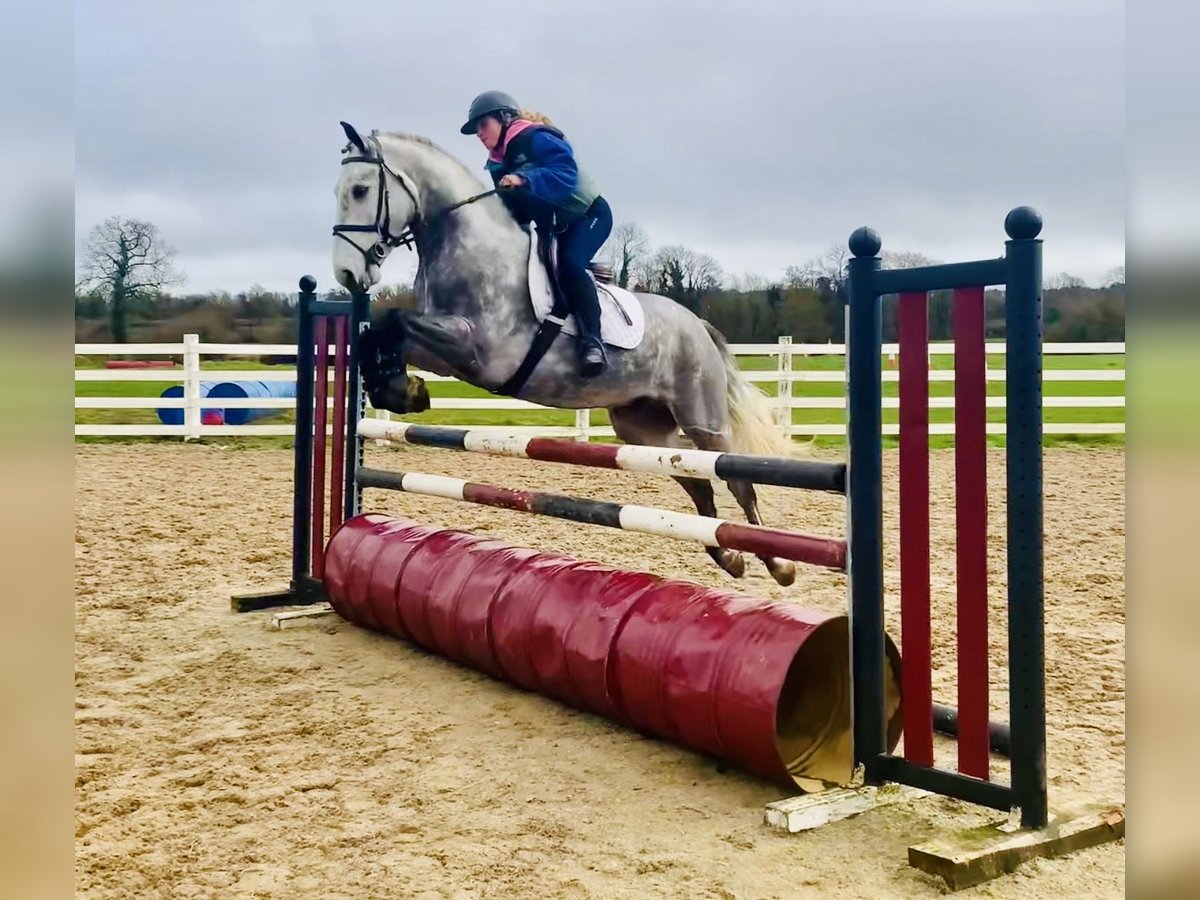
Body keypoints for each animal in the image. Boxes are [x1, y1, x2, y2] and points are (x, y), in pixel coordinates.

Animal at [331, 122, 798, 586]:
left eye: (359, 190)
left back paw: (779, 564)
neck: (472, 248)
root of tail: (696, 324)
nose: (348, 274)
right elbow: (383, 334)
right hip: (644, 428)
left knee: (735, 480)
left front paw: (401, 388)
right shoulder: (445, 352)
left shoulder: (479, 349)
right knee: (695, 480)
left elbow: (395, 321)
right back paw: (729, 557)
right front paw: (401, 390)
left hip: (703, 418)